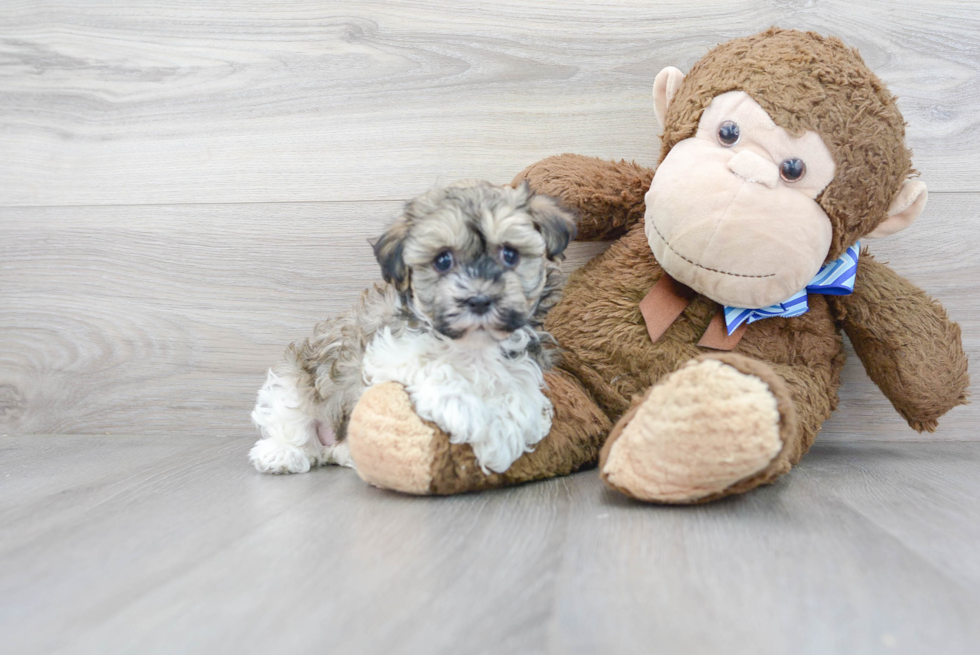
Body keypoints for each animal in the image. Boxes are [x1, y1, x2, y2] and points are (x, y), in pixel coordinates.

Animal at [249, 181, 580, 476]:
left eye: (510, 254)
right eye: (443, 260)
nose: (478, 299)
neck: (474, 344)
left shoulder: (523, 359)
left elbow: (521, 391)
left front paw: (507, 433)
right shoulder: (387, 350)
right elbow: (438, 370)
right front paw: (473, 418)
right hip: (292, 385)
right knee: (294, 423)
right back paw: (282, 453)